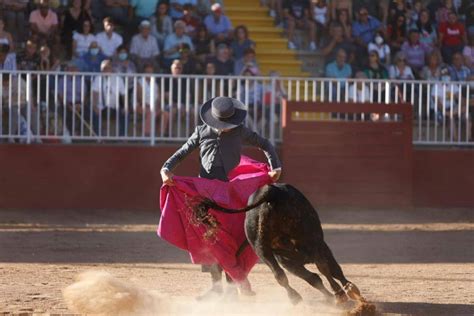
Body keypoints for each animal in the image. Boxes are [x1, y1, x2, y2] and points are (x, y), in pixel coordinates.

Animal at [193, 184, 370, 304]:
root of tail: (269, 193)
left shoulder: (286, 260)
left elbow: (314, 277)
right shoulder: (317, 249)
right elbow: (331, 270)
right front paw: (347, 290)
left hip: (261, 248)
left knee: (281, 274)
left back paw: (296, 298)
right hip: (311, 238)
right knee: (322, 266)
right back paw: (338, 293)